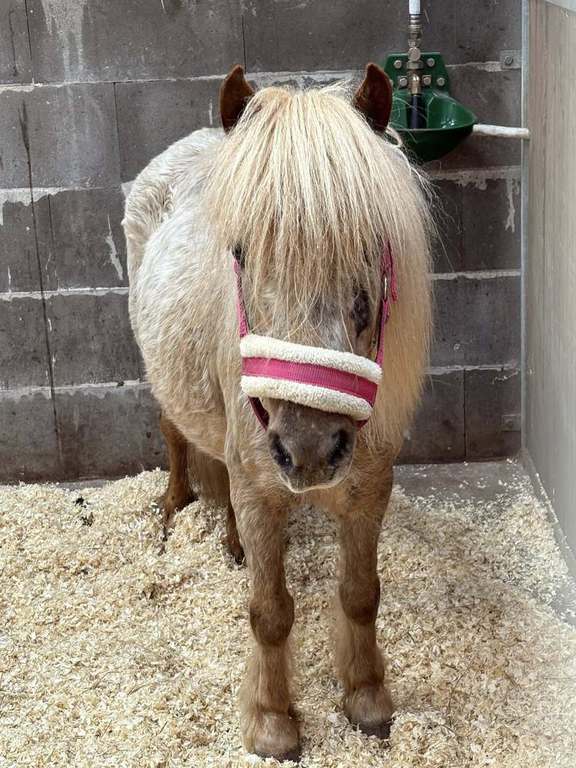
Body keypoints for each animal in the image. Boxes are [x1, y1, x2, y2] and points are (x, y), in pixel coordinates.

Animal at [123, 63, 432, 761]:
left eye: (372, 249)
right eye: (240, 253)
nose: (310, 447)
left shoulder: (370, 487)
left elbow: (360, 595)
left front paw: (367, 698)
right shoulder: (260, 486)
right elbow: (269, 612)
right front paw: (271, 723)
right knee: (175, 437)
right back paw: (172, 508)